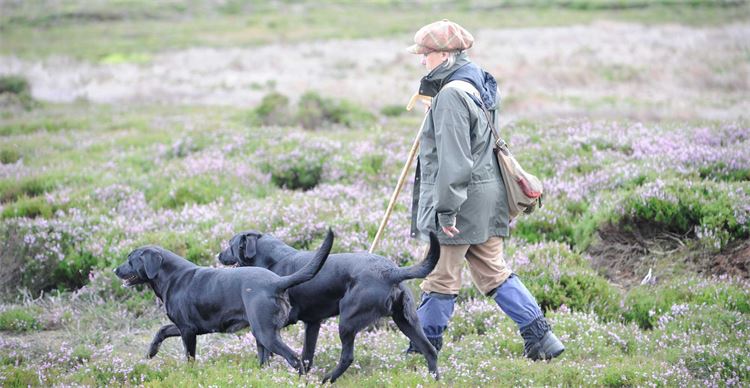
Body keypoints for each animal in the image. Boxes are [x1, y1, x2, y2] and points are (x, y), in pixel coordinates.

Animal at [114, 227, 332, 372]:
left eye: (130, 260)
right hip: (261, 335)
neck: (172, 277)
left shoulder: (188, 330)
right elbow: (161, 330)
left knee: (295, 359)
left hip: (265, 333)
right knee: (268, 359)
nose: (115, 270)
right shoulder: (183, 326)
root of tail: (277, 282)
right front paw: (151, 352)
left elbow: (189, 358)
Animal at [216, 230, 440, 382]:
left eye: (230, 244)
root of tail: (392, 271)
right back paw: (433, 380)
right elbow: (306, 355)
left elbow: (269, 351)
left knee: (347, 357)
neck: (274, 259)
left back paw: (328, 379)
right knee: (430, 350)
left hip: (348, 320)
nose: (219, 255)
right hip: (407, 321)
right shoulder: (313, 323)